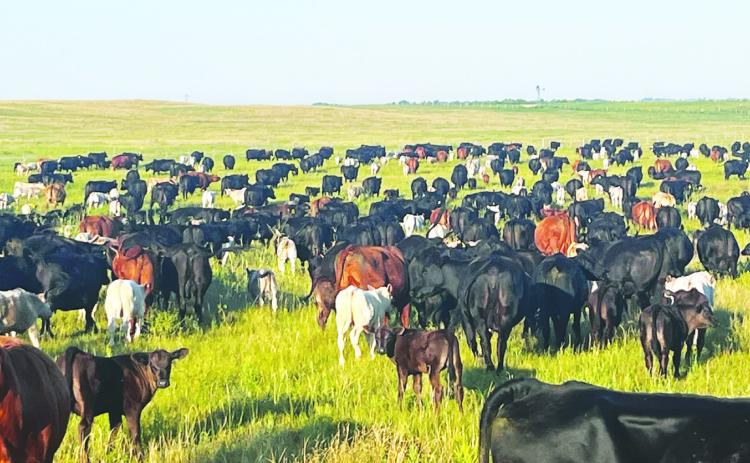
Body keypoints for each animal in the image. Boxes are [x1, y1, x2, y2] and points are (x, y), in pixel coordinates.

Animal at [58, 346, 188, 462]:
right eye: (153, 366)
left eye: (169, 364)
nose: (163, 382)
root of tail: (77, 352)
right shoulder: (133, 408)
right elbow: (135, 433)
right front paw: (140, 458)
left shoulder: (114, 410)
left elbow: (114, 430)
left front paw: (108, 454)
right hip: (88, 406)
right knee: (83, 428)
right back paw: (85, 459)